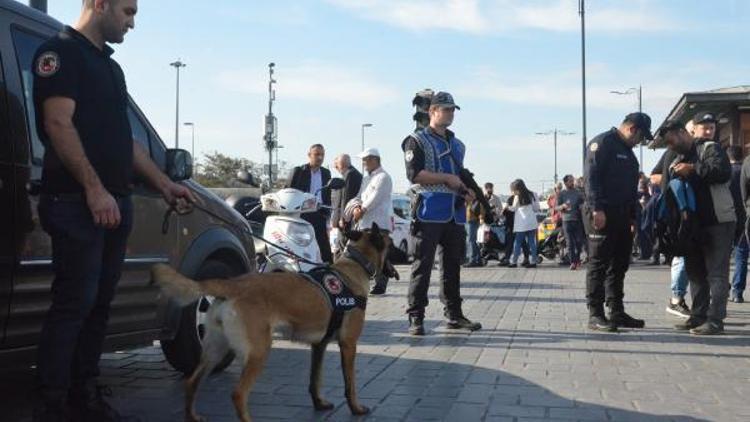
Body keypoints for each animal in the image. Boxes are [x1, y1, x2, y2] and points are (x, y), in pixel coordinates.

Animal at [151, 223, 390, 420]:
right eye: (392, 242)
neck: (354, 265)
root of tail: (232, 285)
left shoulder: (319, 346)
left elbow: (315, 380)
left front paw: (319, 403)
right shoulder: (348, 345)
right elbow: (350, 384)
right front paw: (356, 408)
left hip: (215, 348)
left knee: (192, 382)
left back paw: (192, 416)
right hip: (259, 351)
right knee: (238, 394)